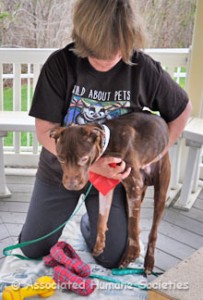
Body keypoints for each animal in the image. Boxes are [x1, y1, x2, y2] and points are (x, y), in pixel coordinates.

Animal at [50, 112, 170, 274]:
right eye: (61, 159)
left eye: (84, 159)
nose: (71, 186)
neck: (108, 143)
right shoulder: (108, 184)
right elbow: (102, 216)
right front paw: (100, 244)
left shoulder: (134, 186)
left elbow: (133, 226)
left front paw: (133, 254)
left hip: (159, 190)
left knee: (152, 231)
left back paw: (148, 261)